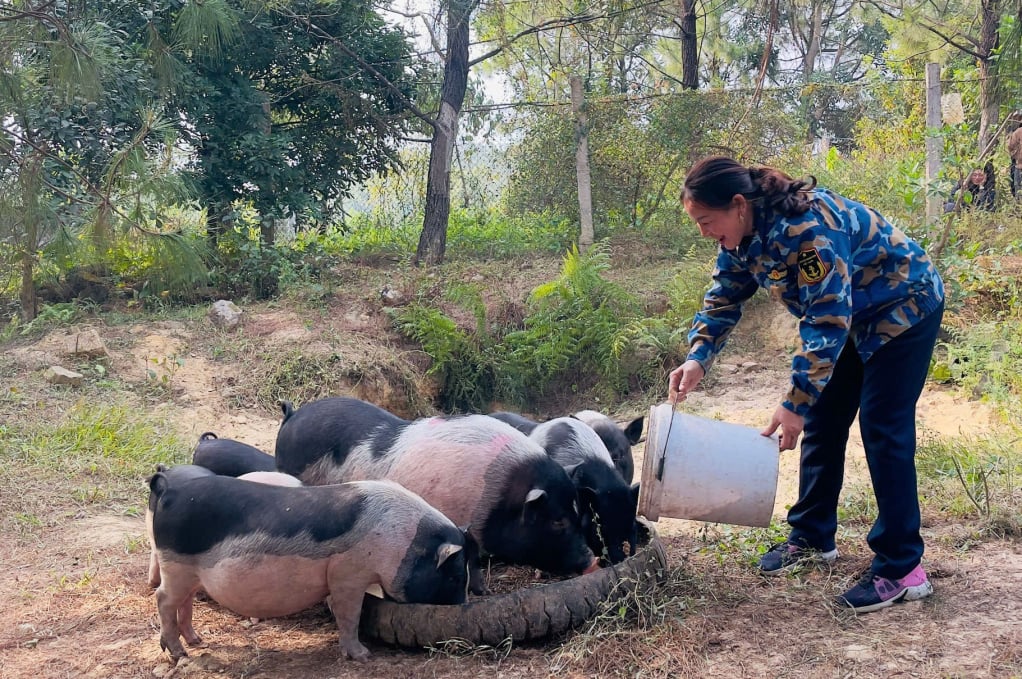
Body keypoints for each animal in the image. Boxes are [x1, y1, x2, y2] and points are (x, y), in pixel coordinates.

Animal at [275, 398, 596, 589]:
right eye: (557, 521)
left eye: (578, 514)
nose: (591, 560)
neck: (499, 497)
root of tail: (293, 415)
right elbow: (470, 556)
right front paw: (480, 589)